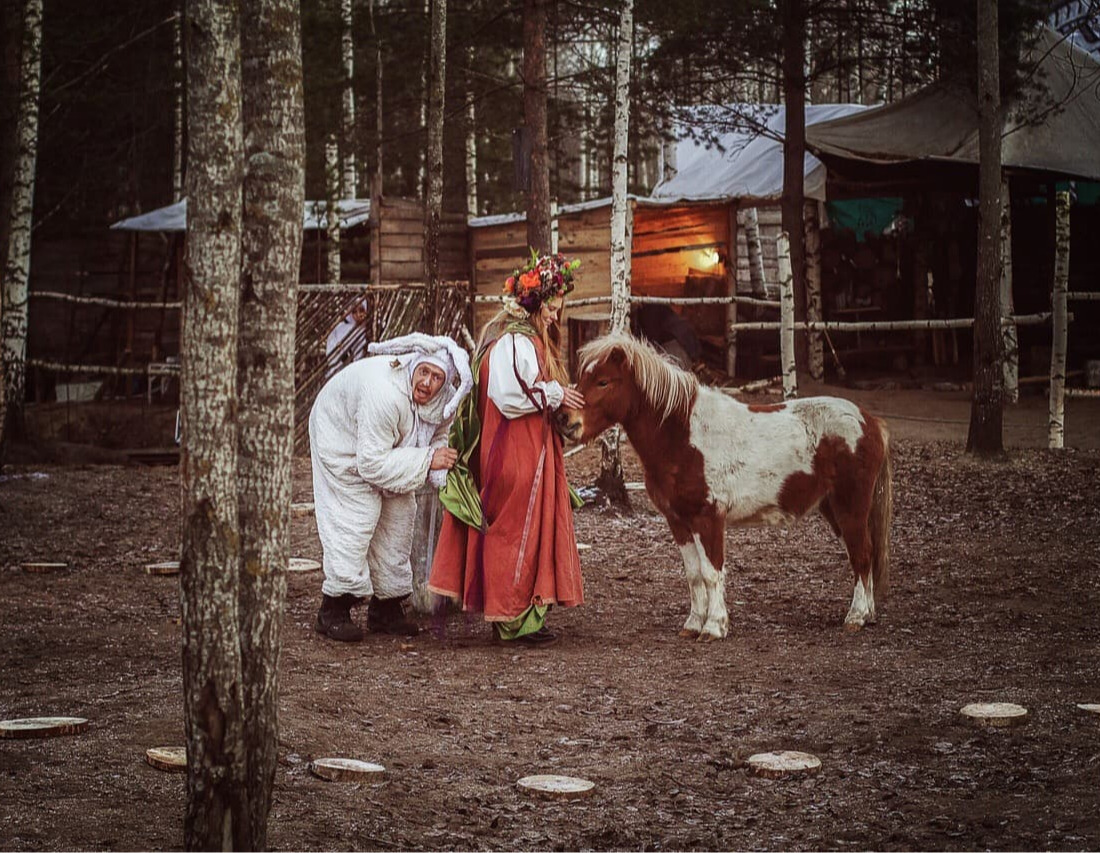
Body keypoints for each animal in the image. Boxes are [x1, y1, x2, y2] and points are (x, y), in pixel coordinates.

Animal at [558, 334, 893, 642]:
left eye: (603, 381)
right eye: (582, 377)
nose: (564, 419)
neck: (683, 436)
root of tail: (870, 422)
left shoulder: (708, 519)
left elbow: (711, 572)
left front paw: (714, 627)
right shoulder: (678, 521)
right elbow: (694, 575)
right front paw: (693, 624)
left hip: (850, 507)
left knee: (862, 555)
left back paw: (856, 617)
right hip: (833, 508)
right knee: (863, 555)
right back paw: (869, 615)